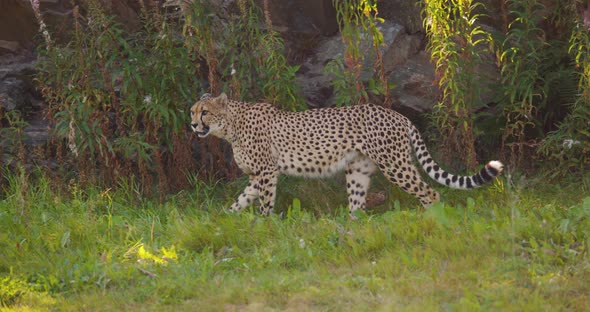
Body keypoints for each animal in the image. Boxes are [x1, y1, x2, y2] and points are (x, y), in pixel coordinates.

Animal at [192, 93, 506, 217]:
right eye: (192, 112)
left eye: (204, 112)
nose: (194, 125)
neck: (230, 125)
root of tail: (398, 115)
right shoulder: (257, 175)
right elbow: (242, 199)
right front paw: (226, 219)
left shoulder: (267, 172)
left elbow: (265, 202)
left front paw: (264, 224)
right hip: (358, 170)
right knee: (357, 205)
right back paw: (352, 227)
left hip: (395, 165)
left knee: (430, 192)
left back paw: (431, 219)